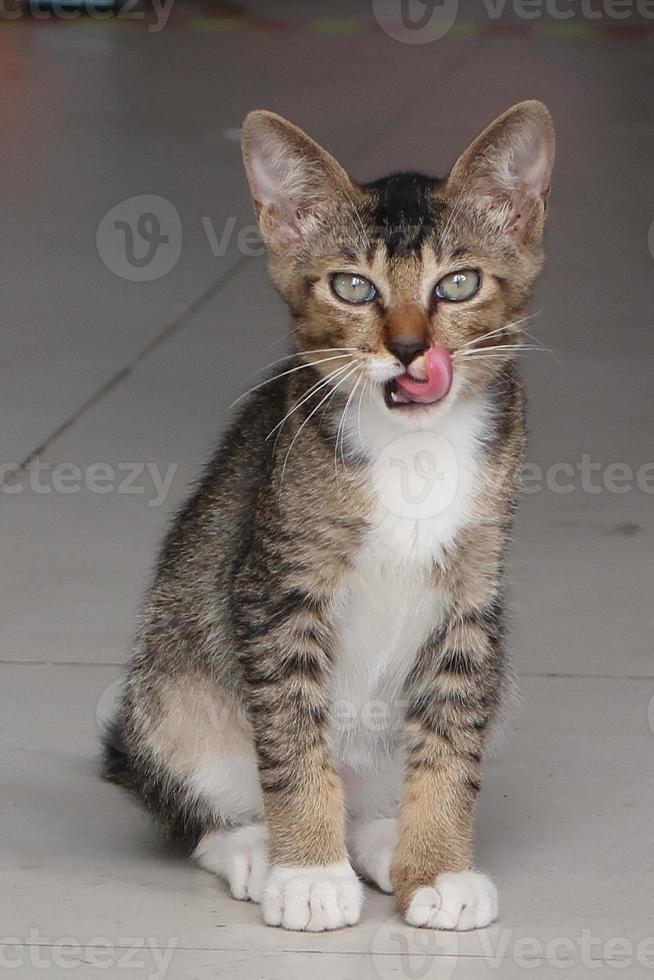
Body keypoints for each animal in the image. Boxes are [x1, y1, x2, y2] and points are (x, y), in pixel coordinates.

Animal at [105, 101, 556, 936]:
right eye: (353, 286)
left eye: (458, 283)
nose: (410, 349)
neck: (414, 447)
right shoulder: (275, 585)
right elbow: (291, 733)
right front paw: (309, 872)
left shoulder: (473, 595)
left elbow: (453, 739)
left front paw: (436, 866)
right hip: (171, 684)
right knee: (202, 797)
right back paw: (258, 847)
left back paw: (381, 837)